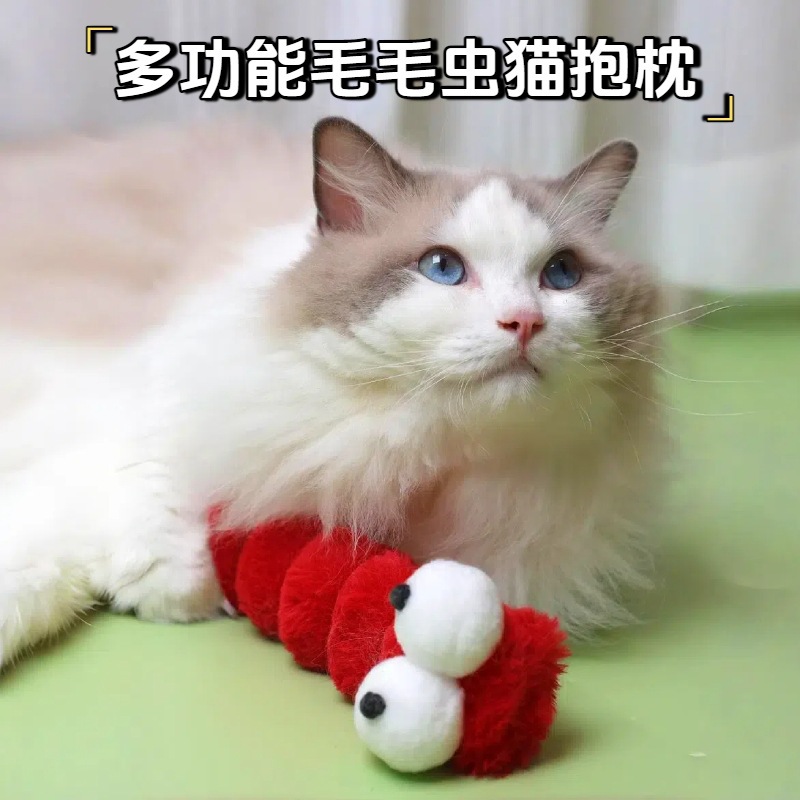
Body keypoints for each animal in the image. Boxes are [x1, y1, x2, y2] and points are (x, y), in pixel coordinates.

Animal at [0, 116, 664, 669]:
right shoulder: (142, 403)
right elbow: (138, 498)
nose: (524, 322)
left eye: (562, 274)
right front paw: (178, 588)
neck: (421, 469)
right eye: (443, 268)